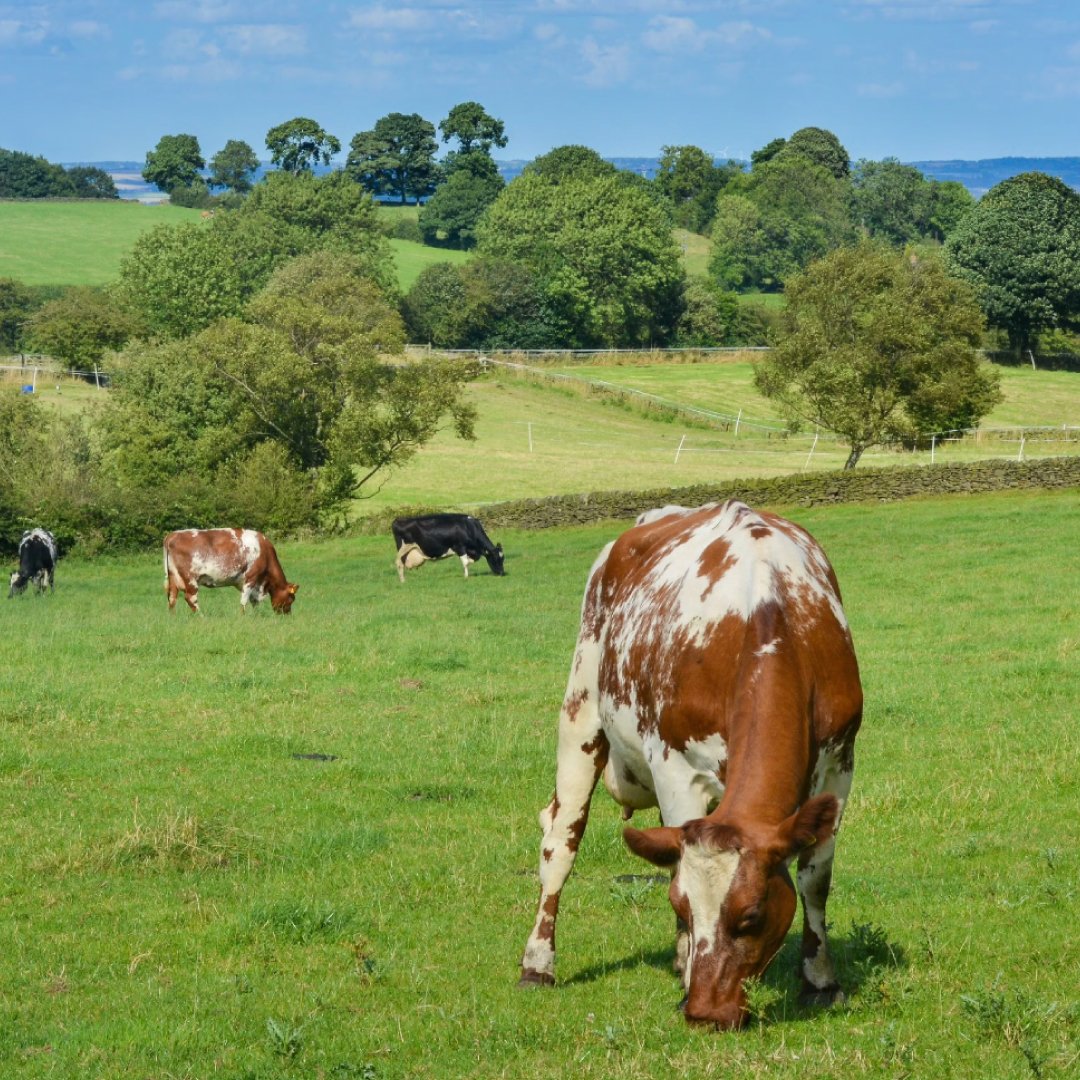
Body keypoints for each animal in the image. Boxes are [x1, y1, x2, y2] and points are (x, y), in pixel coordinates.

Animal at [163, 528, 298, 614]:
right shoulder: (251, 577)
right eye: (291, 599)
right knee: (190, 598)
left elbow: (253, 601)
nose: (287, 615)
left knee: (172, 598)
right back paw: (202, 617)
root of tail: (172, 535)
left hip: (173, 576)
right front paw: (242, 617)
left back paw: (172, 617)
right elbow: (244, 600)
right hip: (190, 578)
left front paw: (256, 615)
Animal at [519, 500, 863, 1030]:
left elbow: (815, 879)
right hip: (581, 710)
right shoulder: (675, 768)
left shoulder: (840, 764)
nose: (705, 1013)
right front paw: (686, 972)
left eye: (752, 915)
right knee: (560, 841)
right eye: (681, 905)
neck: (769, 614)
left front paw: (821, 981)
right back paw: (538, 963)